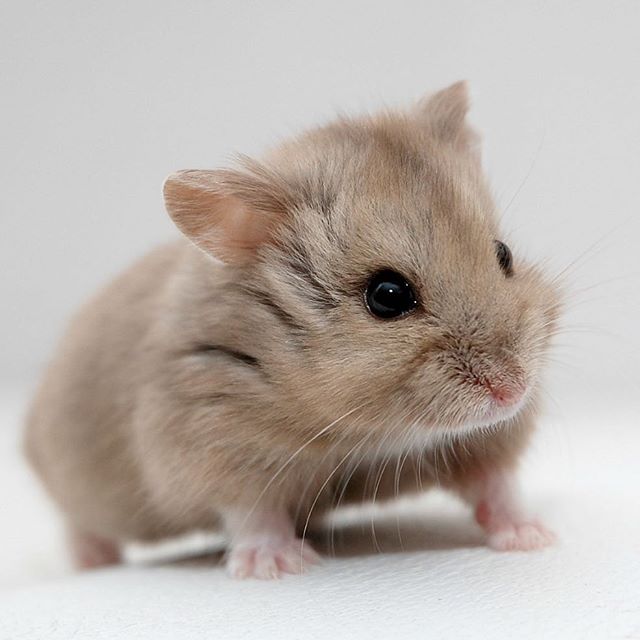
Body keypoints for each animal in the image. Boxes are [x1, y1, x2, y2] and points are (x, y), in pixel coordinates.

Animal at [24, 82, 561, 579]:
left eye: (504, 255)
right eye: (387, 295)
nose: (513, 393)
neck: (371, 432)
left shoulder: (482, 440)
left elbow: (496, 484)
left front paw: (536, 538)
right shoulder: (211, 442)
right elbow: (251, 511)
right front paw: (279, 566)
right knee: (80, 525)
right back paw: (90, 564)